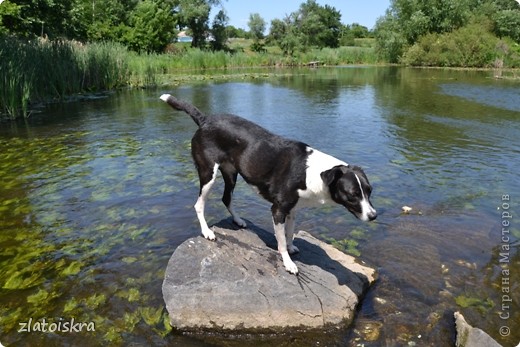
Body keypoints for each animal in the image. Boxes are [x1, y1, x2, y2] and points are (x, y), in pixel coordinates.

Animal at [160, 94, 376, 274]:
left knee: (226, 198)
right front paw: (288, 262)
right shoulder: (278, 209)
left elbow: (289, 233)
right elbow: (280, 240)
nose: (374, 216)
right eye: (352, 194)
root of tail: (204, 119)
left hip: (231, 173)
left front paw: (291, 247)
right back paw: (207, 232)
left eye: (369, 191)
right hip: (208, 174)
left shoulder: (292, 209)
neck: (311, 171)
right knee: (199, 204)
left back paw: (238, 220)